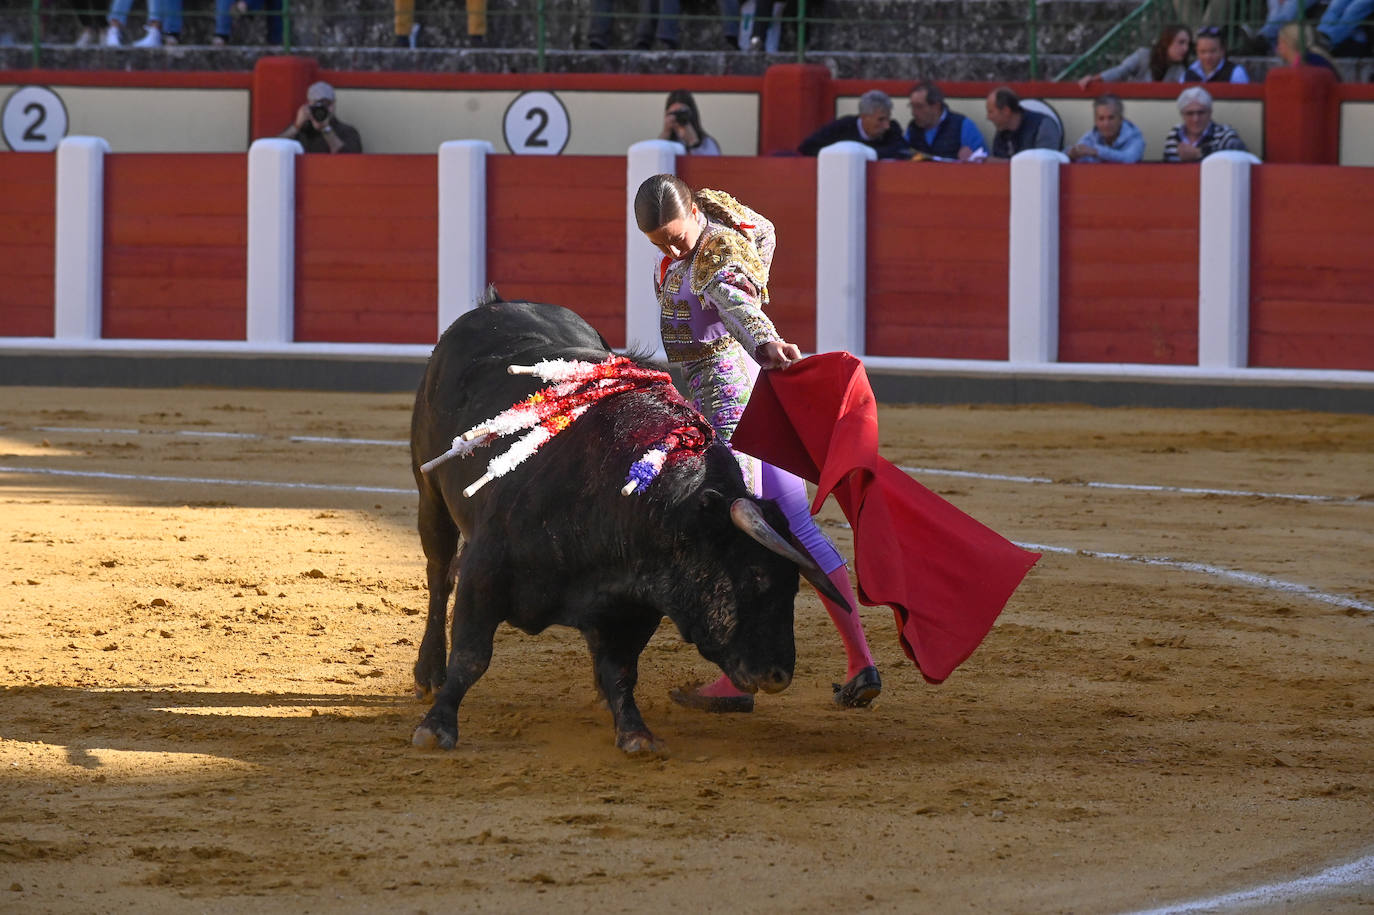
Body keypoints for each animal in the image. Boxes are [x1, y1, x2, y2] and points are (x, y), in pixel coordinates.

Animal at [401, 295, 840, 752]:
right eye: (754, 575)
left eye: (793, 585)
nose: (778, 675)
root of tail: (496, 305)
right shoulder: (484, 571)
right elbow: (471, 656)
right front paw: (436, 726)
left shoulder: (637, 603)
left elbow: (620, 670)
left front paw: (634, 731)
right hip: (429, 493)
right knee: (438, 576)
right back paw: (428, 675)